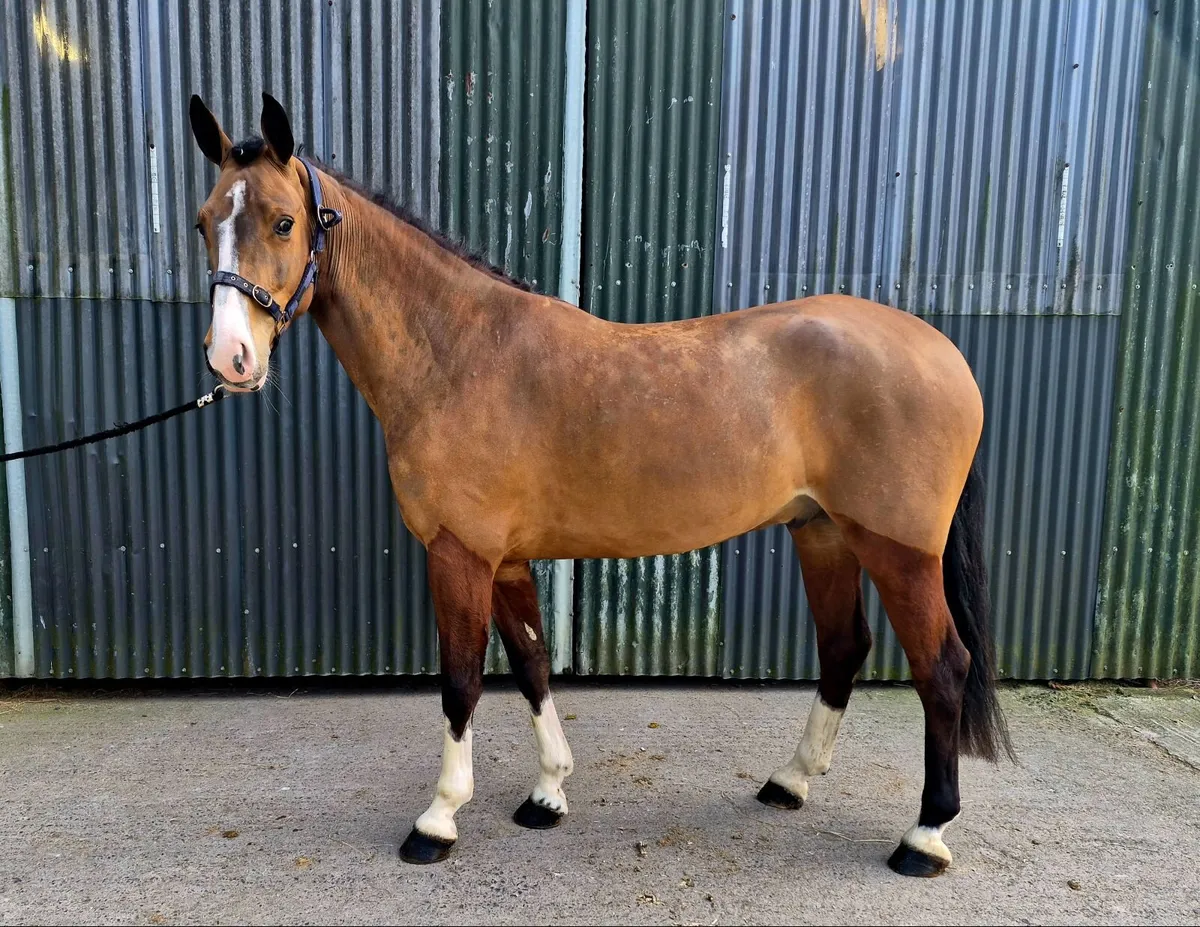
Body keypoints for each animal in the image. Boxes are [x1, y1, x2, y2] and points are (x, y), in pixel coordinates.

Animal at [188, 92, 1013, 877]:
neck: (457, 352)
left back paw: (924, 834)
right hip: (823, 532)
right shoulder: (505, 559)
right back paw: (790, 780)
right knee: (844, 646)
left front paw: (439, 818)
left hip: (899, 551)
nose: (230, 358)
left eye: (284, 222)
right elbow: (531, 662)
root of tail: (943, 351)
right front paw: (548, 790)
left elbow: (461, 680)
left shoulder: (459, 553)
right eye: (203, 223)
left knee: (943, 667)